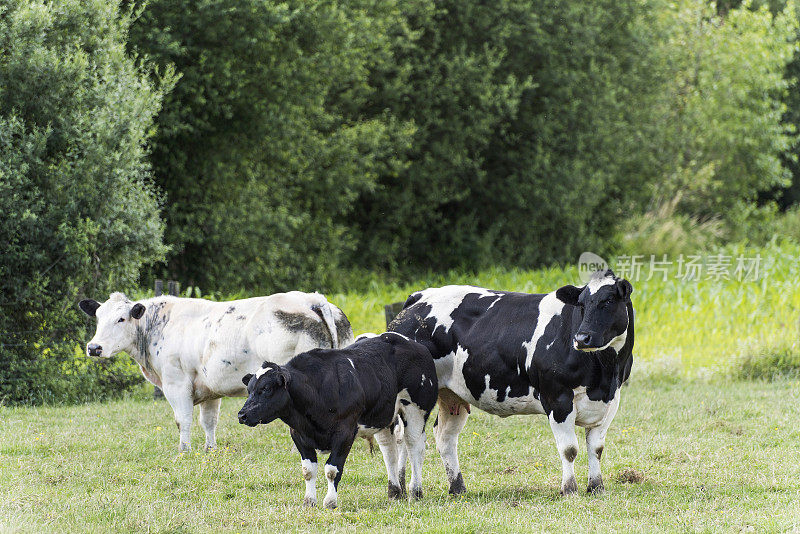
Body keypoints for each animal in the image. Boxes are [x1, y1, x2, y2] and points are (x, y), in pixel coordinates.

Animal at [79, 294, 354, 452]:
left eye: (121, 319)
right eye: (98, 317)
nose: (94, 347)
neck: (158, 325)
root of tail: (312, 300)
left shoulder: (176, 383)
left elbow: (183, 419)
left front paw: (184, 450)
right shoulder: (209, 390)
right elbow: (209, 421)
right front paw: (209, 449)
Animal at [238, 332, 438, 512]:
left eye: (266, 388)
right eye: (249, 389)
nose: (242, 415)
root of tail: (413, 343)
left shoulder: (345, 432)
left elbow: (332, 470)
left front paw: (330, 502)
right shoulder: (298, 434)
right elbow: (308, 470)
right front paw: (309, 501)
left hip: (416, 410)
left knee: (414, 447)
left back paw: (415, 492)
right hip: (384, 416)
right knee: (390, 452)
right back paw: (394, 492)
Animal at [390, 272, 636, 498]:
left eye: (609, 301)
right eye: (582, 304)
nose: (582, 338)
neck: (604, 372)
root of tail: (419, 296)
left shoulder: (611, 401)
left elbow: (596, 449)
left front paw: (596, 488)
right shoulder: (557, 397)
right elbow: (569, 450)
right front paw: (569, 489)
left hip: (451, 394)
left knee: (444, 437)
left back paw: (456, 488)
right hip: (413, 396)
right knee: (407, 438)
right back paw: (405, 489)